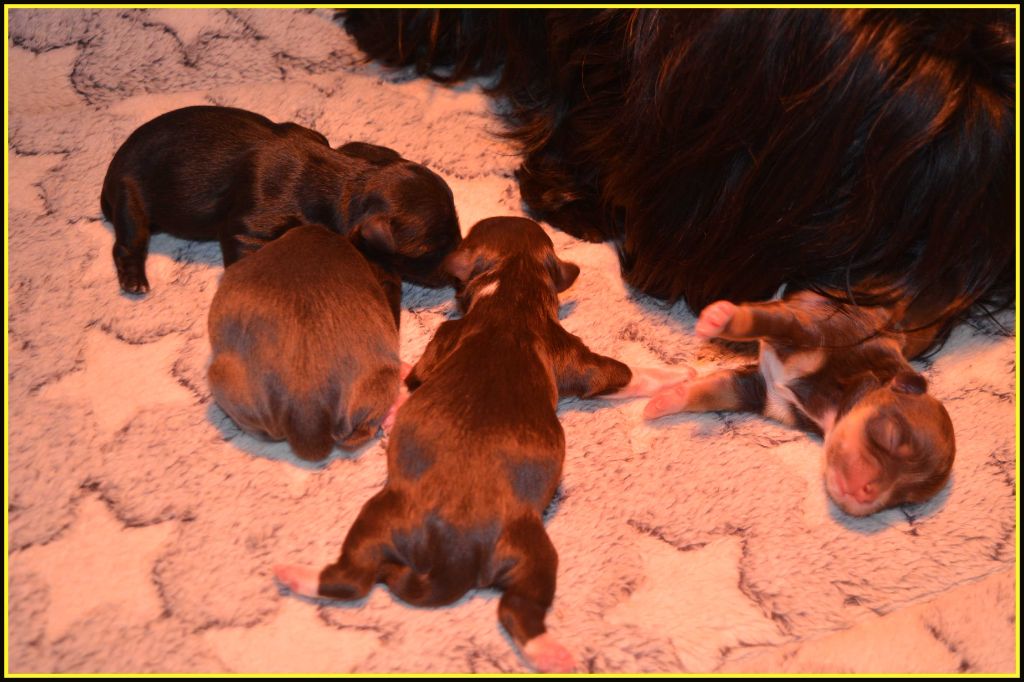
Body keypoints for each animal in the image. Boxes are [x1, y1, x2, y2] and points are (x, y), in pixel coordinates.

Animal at [99, 104, 460, 290]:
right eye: (427, 251)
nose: (460, 274)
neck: (344, 179)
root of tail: (110, 173)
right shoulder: (248, 225)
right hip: (130, 196)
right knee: (128, 241)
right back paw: (135, 280)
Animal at [272, 216, 692, 667]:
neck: (512, 289)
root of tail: (456, 551)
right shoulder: (569, 354)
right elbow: (621, 372)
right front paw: (678, 375)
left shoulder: (450, 339)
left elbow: (418, 377)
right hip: (513, 546)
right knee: (509, 608)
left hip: (389, 522)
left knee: (360, 577)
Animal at [643, 288, 954, 518]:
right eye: (891, 435)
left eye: (905, 499)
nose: (867, 493)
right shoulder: (813, 330)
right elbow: (766, 319)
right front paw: (723, 318)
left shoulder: (762, 393)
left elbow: (712, 390)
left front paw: (664, 401)